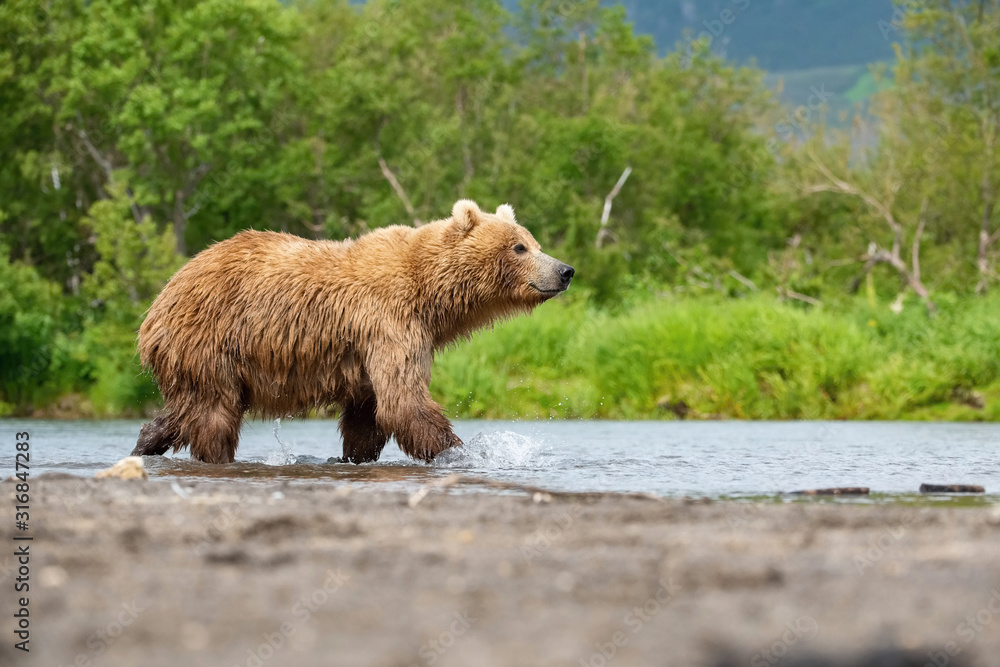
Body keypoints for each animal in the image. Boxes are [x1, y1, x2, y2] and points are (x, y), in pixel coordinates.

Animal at [132, 200, 574, 464]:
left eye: (533, 242)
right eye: (519, 247)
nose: (565, 270)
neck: (430, 295)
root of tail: (159, 301)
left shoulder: (373, 349)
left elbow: (369, 414)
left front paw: (355, 455)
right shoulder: (389, 321)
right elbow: (404, 402)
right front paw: (463, 452)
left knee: (184, 409)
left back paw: (145, 444)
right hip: (210, 339)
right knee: (214, 414)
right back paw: (215, 457)